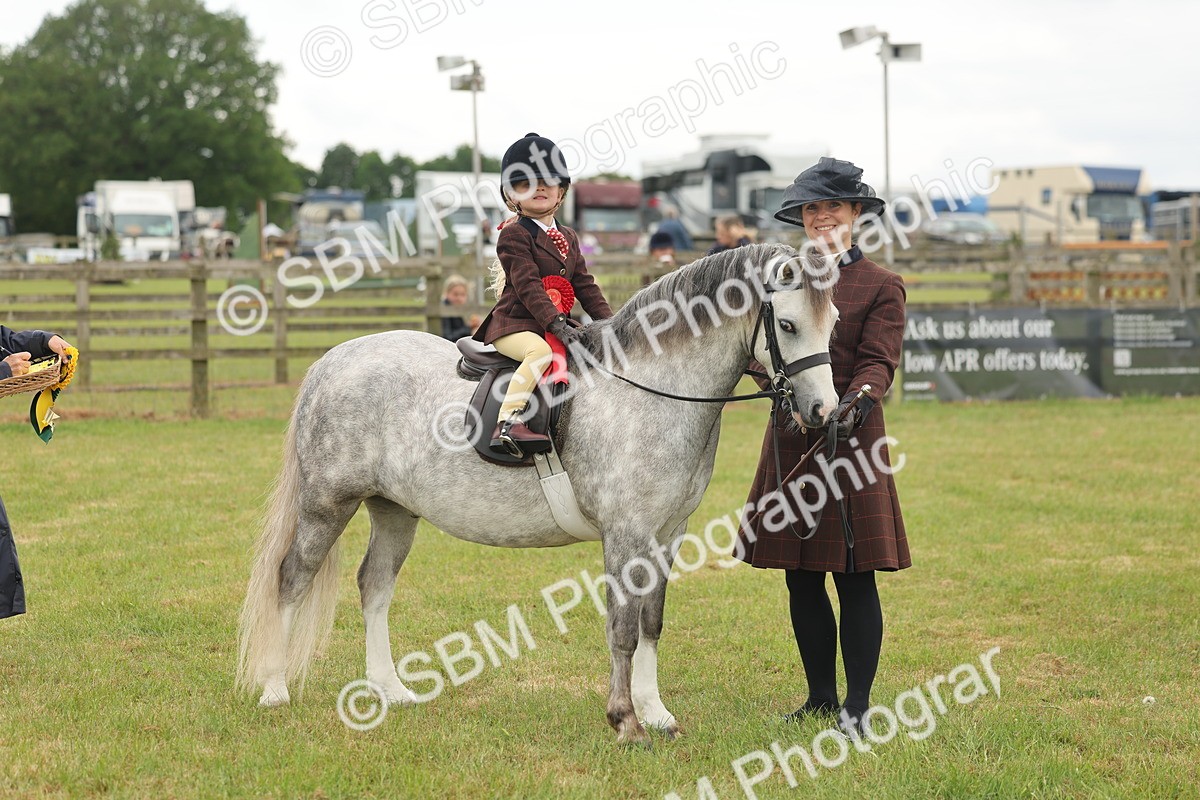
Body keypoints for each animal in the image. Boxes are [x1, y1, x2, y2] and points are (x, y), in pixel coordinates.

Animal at [236, 243, 840, 746]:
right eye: (788, 324)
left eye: (832, 320)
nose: (823, 412)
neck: (651, 388)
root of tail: (333, 361)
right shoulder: (625, 533)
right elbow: (622, 628)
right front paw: (626, 722)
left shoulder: (668, 533)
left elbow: (651, 622)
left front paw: (657, 714)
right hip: (327, 504)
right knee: (291, 578)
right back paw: (275, 690)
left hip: (395, 510)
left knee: (375, 585)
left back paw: (390, 690)